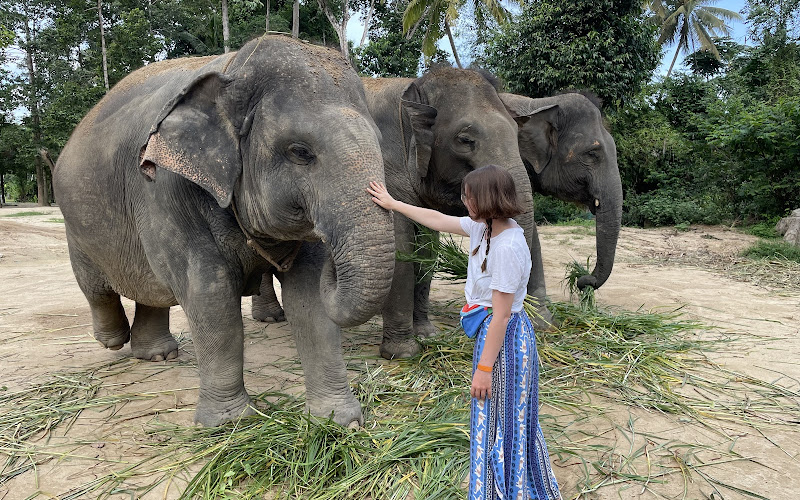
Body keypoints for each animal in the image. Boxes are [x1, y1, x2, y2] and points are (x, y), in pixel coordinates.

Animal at [52, 35, 395, 427]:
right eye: (300, 152)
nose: (334, 266)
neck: (235, 70)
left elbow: (308, 295)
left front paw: (337, 421)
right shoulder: (167, 190)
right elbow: (210, 294)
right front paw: (230, 423)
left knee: (150, 288)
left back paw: (157, 356)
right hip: (75, 225)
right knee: (96, 286)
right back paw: (112, 340)